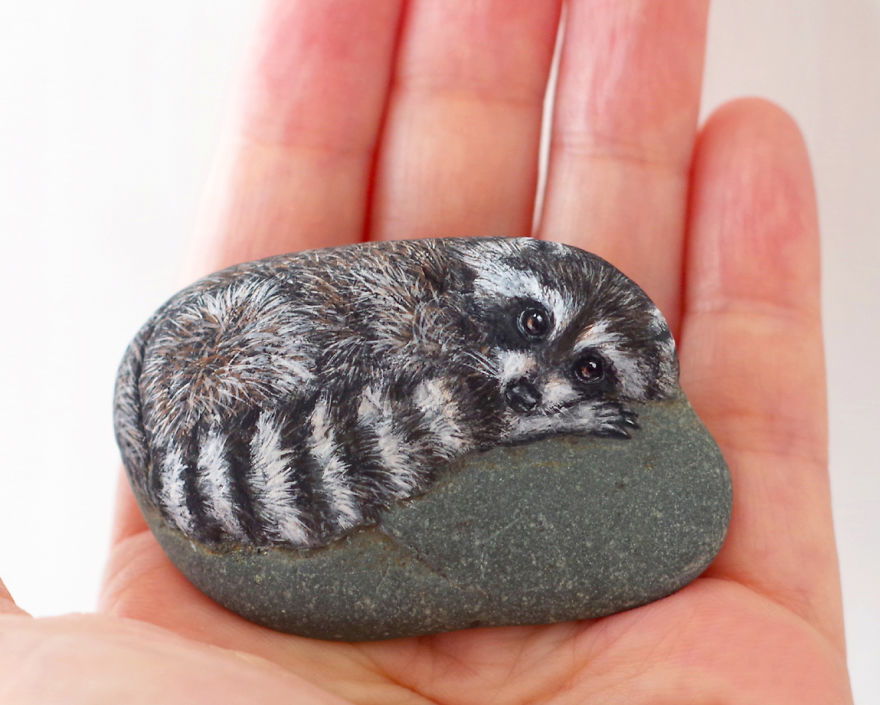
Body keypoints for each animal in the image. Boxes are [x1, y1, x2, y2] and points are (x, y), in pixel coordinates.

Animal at [113, 237, 678, 549]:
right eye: (535, 320)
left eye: (590, 367)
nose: (525, 393)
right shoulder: (416, 327)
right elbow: (456, 415)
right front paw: (533, 419)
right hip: (218, 350)